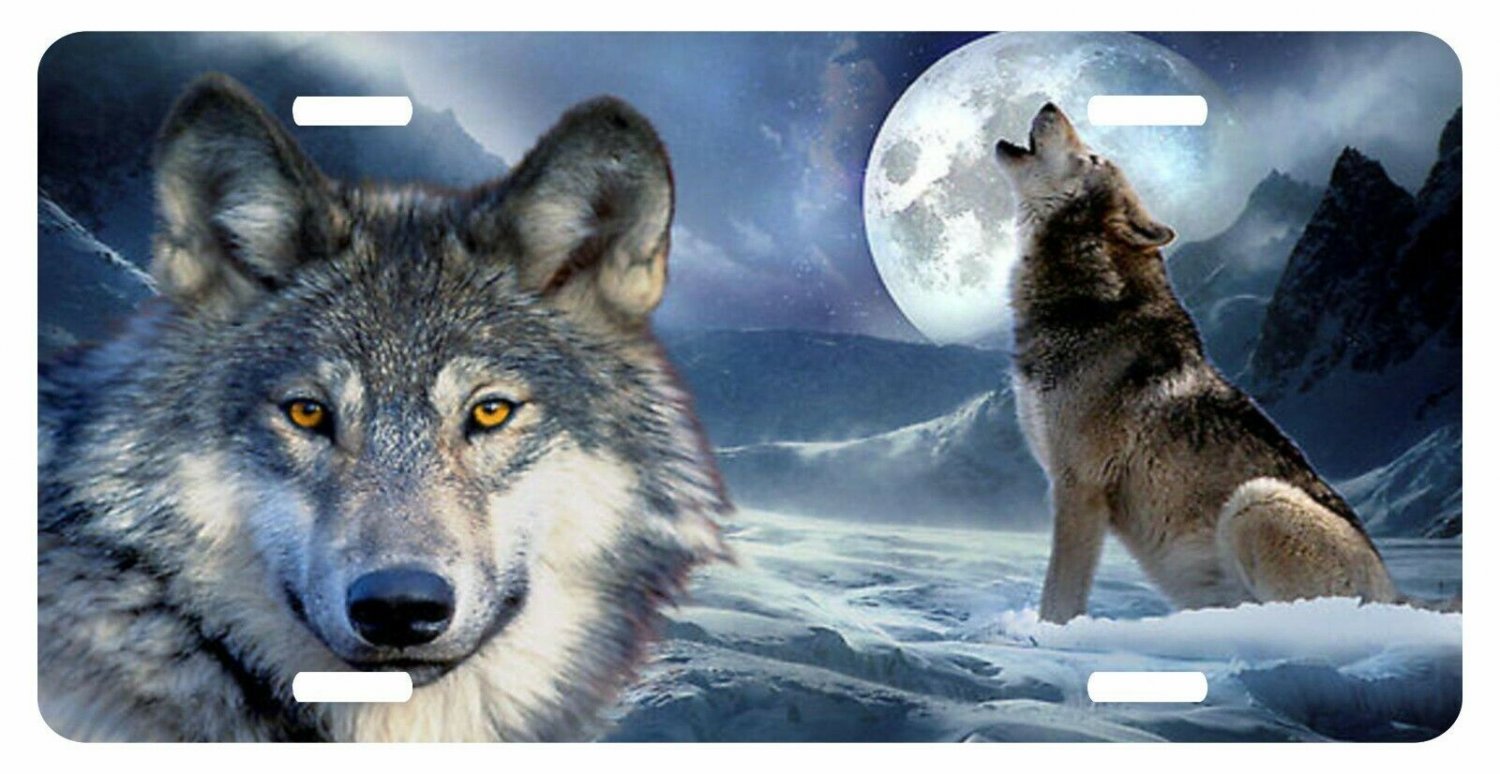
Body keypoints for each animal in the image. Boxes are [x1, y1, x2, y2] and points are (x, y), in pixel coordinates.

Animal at [995, 103, 1398, 624]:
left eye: (1094, 157)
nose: (1048, 104)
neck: (1087, 304)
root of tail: (1398, 596)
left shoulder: (1079, 488)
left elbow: (1058, 599)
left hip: (1256, 501)